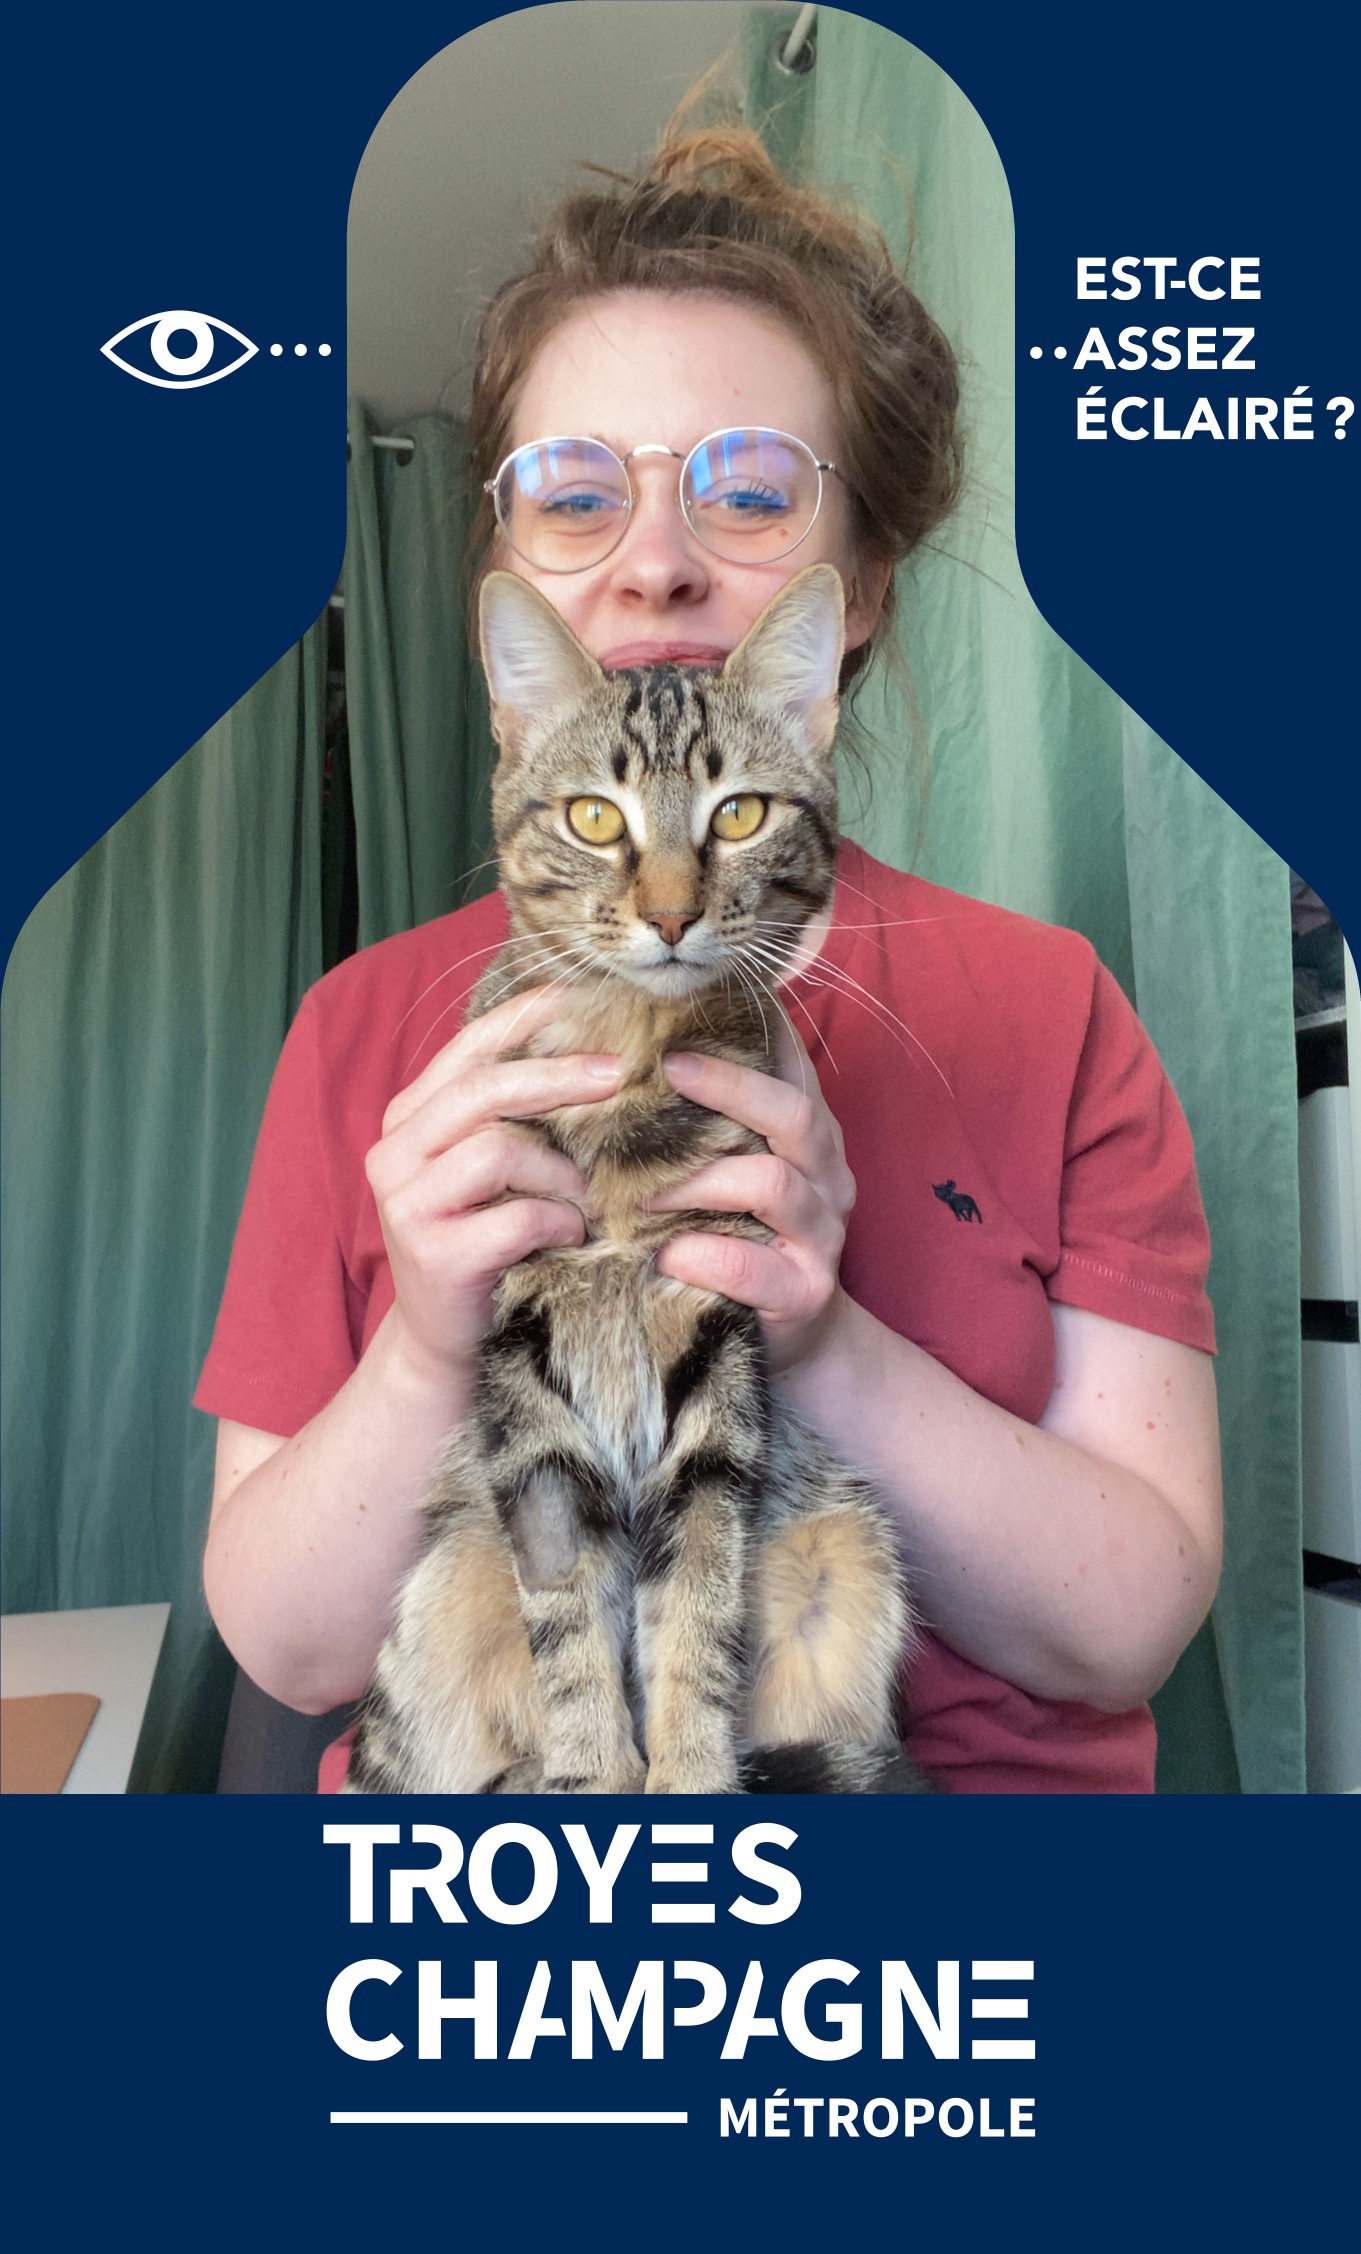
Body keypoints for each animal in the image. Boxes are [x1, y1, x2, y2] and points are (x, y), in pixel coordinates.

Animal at [345, 562, 927, 1794]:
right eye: (594, 817)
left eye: (740, 813)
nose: (668, 913)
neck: (635, 1061)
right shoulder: (525, 1366)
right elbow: (569, 1617)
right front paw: (590, 1776)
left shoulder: (718, 1344)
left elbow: (695, 1605)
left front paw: (690, 1776)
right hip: (443, 1580)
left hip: (849, 1547)